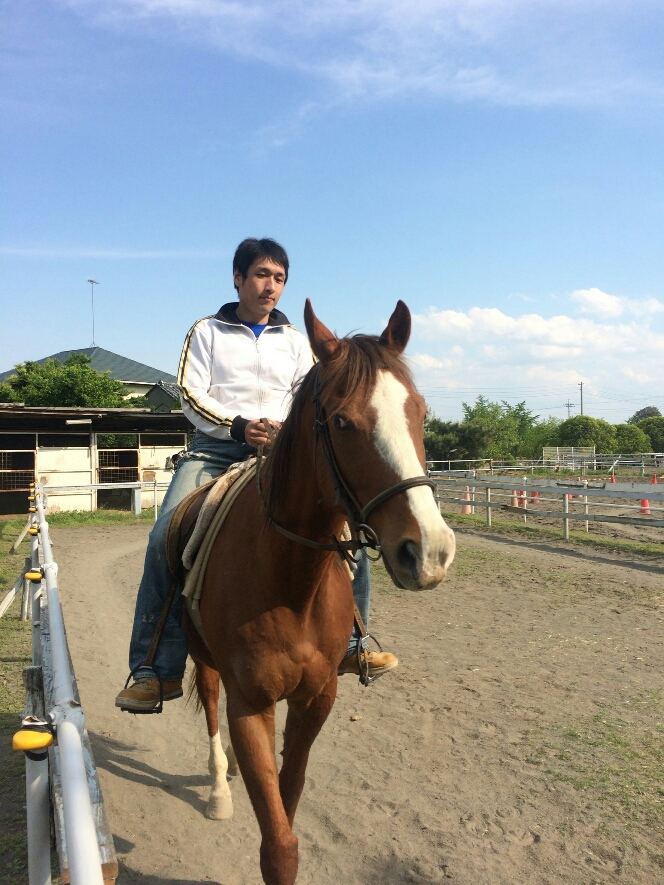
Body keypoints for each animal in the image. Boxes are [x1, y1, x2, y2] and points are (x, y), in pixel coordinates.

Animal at [183, 299, 456, 885]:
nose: (430, 552)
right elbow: (278, 847)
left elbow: (287, 797)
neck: (289, 581)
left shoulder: (317, 699)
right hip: (201, 655)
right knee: (211, 705)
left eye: (421, 412)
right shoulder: (251, 704)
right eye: (342, 421)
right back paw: (218, 789)